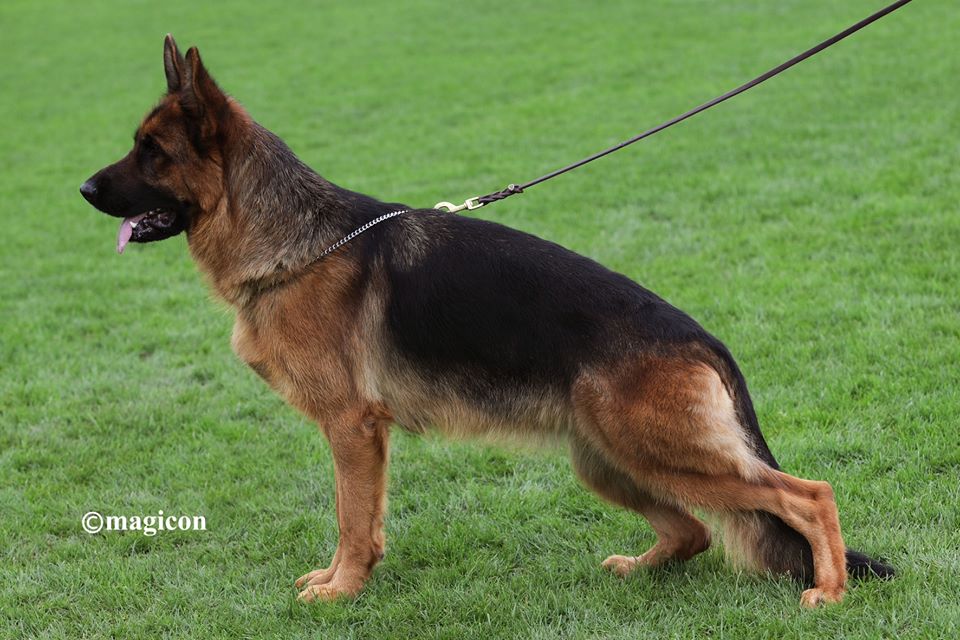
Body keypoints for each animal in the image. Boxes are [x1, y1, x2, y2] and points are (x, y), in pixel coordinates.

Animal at [80, 35, 893, 607]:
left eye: (152, 151)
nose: (83, 189)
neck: (296, 242)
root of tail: (703, 338)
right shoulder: (361, 436)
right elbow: (361, 520)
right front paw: (348, 583)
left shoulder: (352, 429)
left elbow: (350, 518)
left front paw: (342, 591)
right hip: (610, 461)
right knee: (693, 530)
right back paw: (640, 568)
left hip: (661, 454)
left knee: (808, 495)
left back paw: (829, 591)